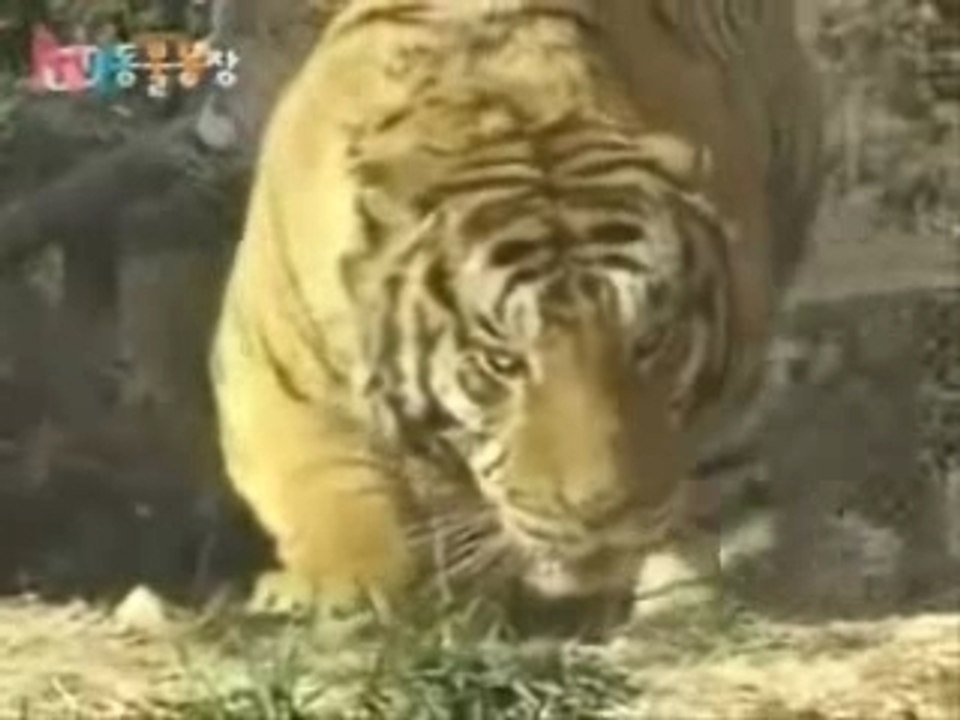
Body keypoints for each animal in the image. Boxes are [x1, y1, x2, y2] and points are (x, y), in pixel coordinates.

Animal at [210, 0, 824, 629]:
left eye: (650, 342)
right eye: (501, 363)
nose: (599, 514)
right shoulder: (279, 376)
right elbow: (330, 487)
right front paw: (344, 591)